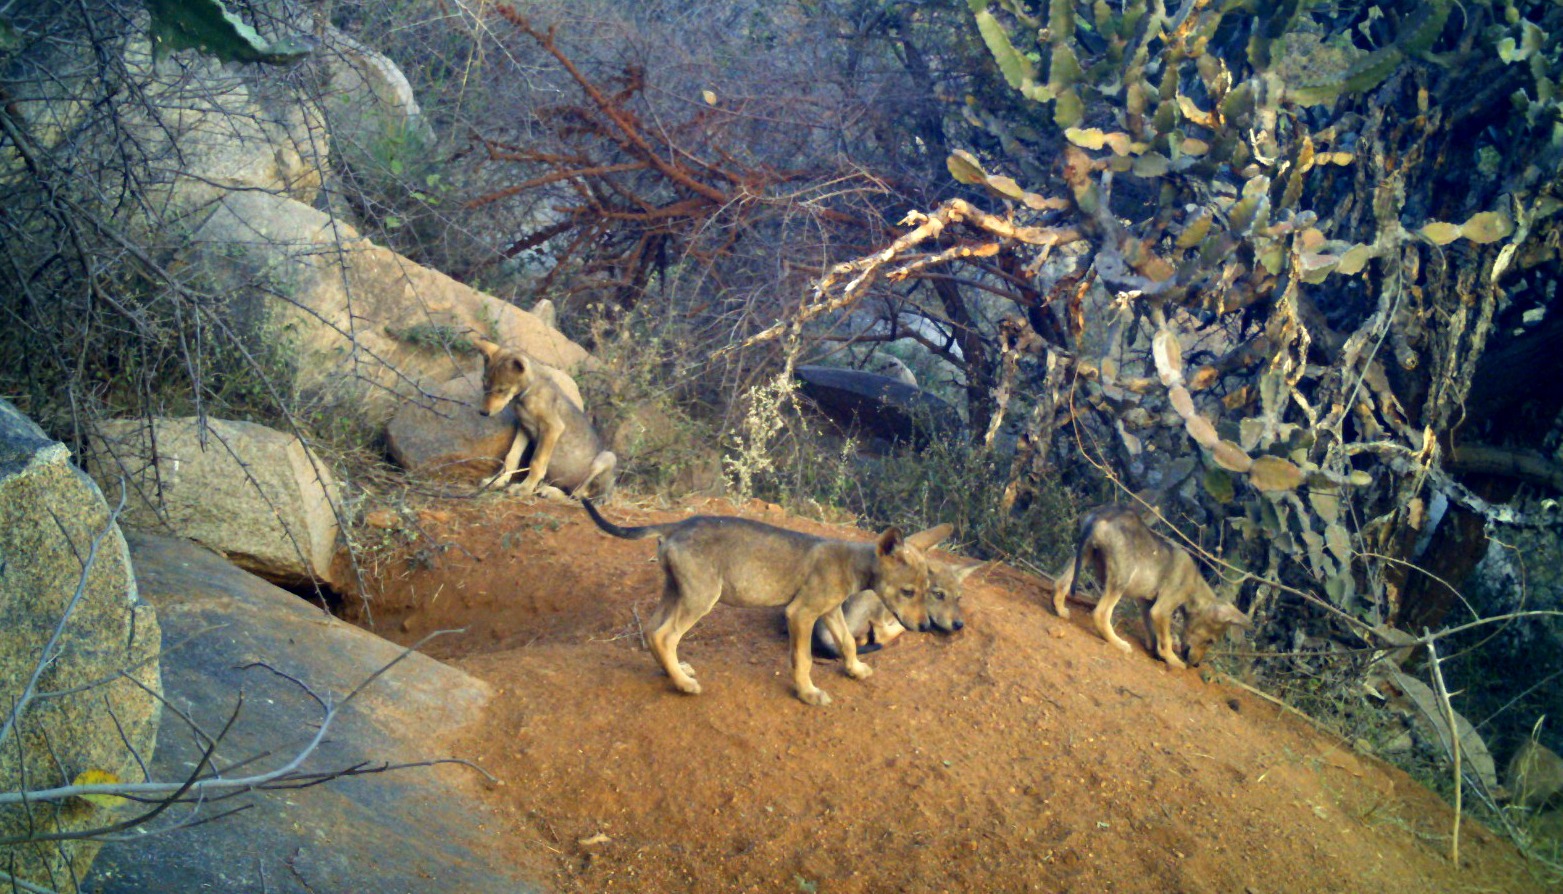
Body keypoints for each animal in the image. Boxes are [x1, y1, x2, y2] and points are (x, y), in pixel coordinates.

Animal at [472, 339, 612, 500]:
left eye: (502, 390)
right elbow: (512, 457)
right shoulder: (524, 427)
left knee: (578, 494)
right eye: (484, 384)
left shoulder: (552, 428)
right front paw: (497, 481)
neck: (526, 394)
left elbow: (536, 462)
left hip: (607, 458)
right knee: (572, 492)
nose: (483, 412)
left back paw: (550, 491)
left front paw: (524, 489)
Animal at [1050, 506, 1244, 665]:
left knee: (1061, 584)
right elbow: (1166, 639)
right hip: (1120, 578)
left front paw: (1154, 650)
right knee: (1101, 614)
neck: (1195, 585)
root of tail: (1101, 516)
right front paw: (1172, 659)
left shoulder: (1146, 603)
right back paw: (1118, 643)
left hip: (1083, 554)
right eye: (1211, 641)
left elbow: (1153, 632)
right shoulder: (1161, 610)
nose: (1195, 665)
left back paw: (1060, 611)